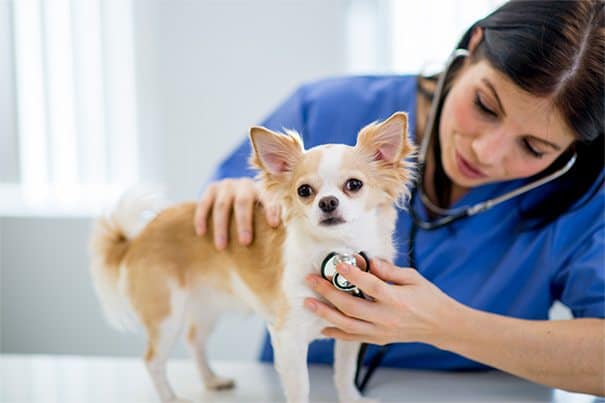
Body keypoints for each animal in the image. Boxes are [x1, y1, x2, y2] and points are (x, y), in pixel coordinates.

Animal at [89, 111, 416, 403]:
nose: (327, 202)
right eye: (304, 191)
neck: (336, 249)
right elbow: (300, 388)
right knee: (153, 361)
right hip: (166, 314)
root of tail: (137, 237)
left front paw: (352, 399)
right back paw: (172, 398)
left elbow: (344, 375)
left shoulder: (350, 332)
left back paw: (212, 380)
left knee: (194, 340)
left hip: (205, 305)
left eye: (354, 185)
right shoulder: (288, 337)